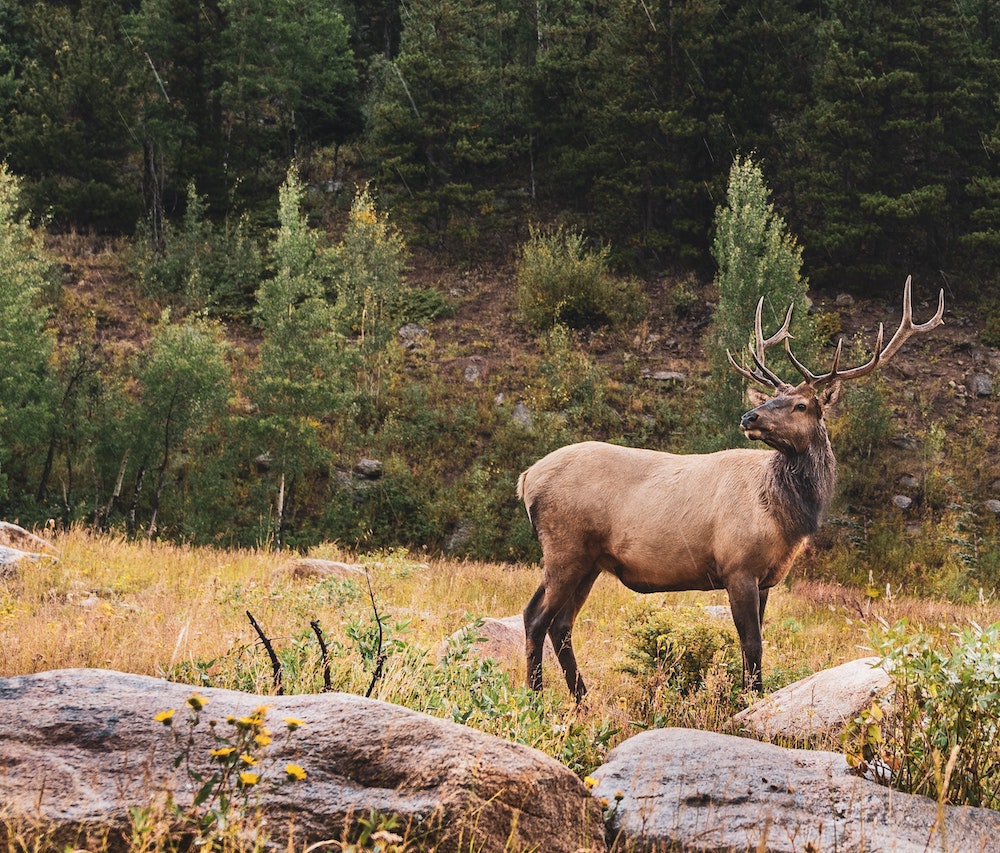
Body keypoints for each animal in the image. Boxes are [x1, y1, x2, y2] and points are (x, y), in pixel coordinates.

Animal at [520, 280, 940, 700]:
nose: (749, 416)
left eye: (801, 404)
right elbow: (752, 644)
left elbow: (747, 645)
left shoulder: (765, 577)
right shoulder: (738, 566)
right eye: (774, 398)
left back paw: (582, 699)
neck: (785, 517)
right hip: (565, 547)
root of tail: (526, 479)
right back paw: (536, 696)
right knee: (535, 616)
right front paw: (751, 700)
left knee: (562, 624)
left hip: (590, 560)